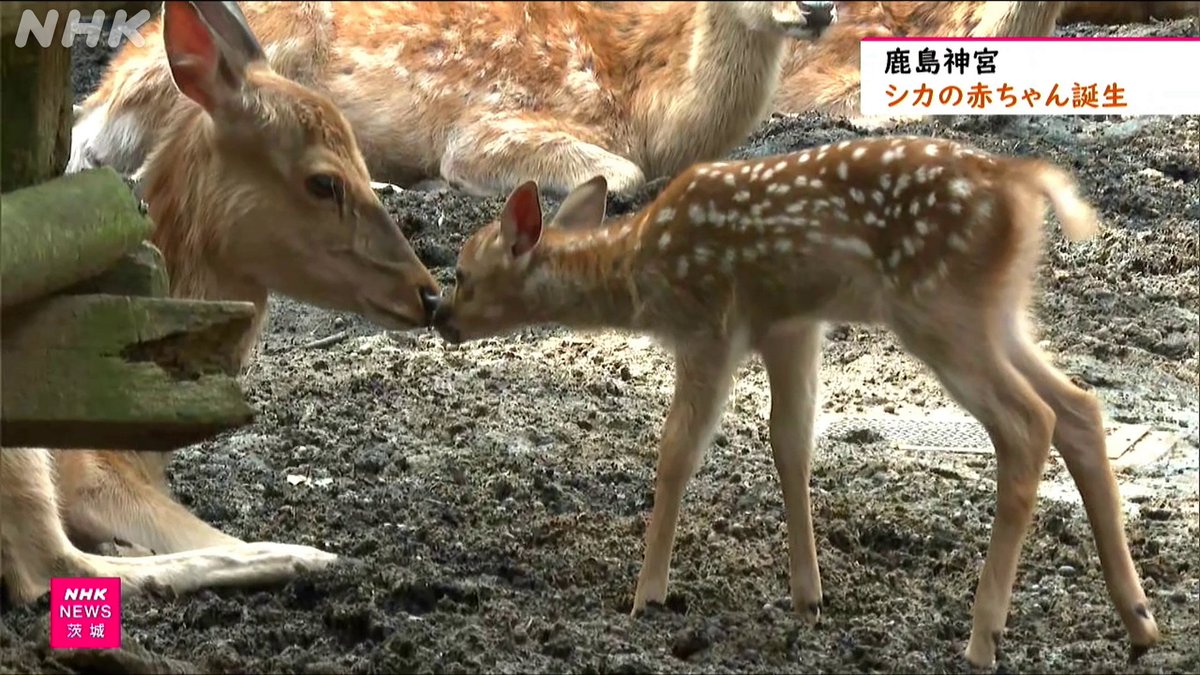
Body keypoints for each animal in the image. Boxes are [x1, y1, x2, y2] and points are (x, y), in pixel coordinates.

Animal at [2, 1, 440, 607]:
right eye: (324, 182)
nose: (427, 293)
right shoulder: (90, 469)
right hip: (21, 448)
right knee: (49, 567)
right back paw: (302, 556)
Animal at [428, 137, 1161, 669]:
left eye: (464, 272)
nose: (439, 315)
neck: (640, 271)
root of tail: (1021, 183)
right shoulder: (790, 326)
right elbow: (790, 442)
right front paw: (808, 597)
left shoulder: (708, 324)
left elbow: (677, 451)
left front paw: (646, 594)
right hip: (999, 310)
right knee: (1079, 408)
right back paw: (1139, 620)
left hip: (937, 305)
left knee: (1028, 423)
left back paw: (983, 637)